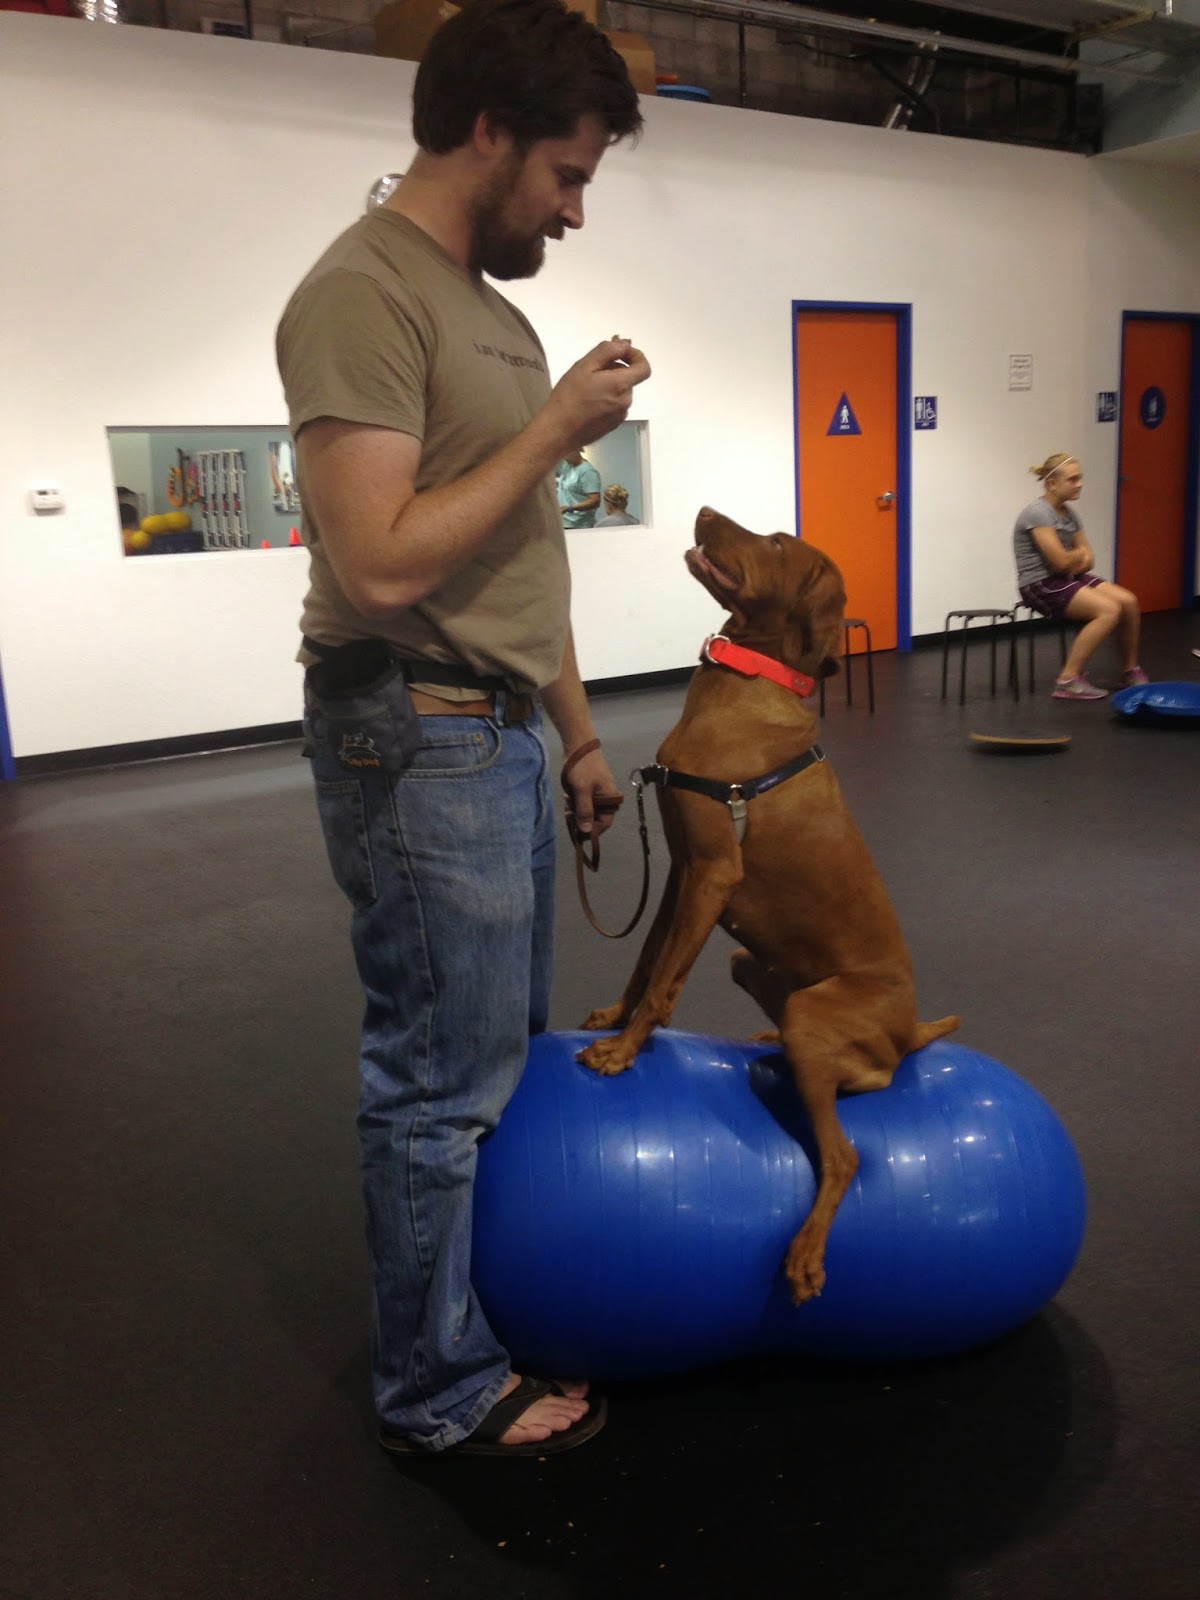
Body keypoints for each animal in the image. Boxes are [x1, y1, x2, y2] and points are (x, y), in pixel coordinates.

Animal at [578, 507, 959, 1304]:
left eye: (779, 542)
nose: (702, 512)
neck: (744, 685)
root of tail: (906, 1034)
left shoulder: (714, 873)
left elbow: (665, 984)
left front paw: (624, 1052)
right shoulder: (683, 871)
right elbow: (646, 960)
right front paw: (614, 1018)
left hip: (813, 1011)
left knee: (845, 1155)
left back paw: (807, 1254)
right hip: (746, 962)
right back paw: (768, 1042)